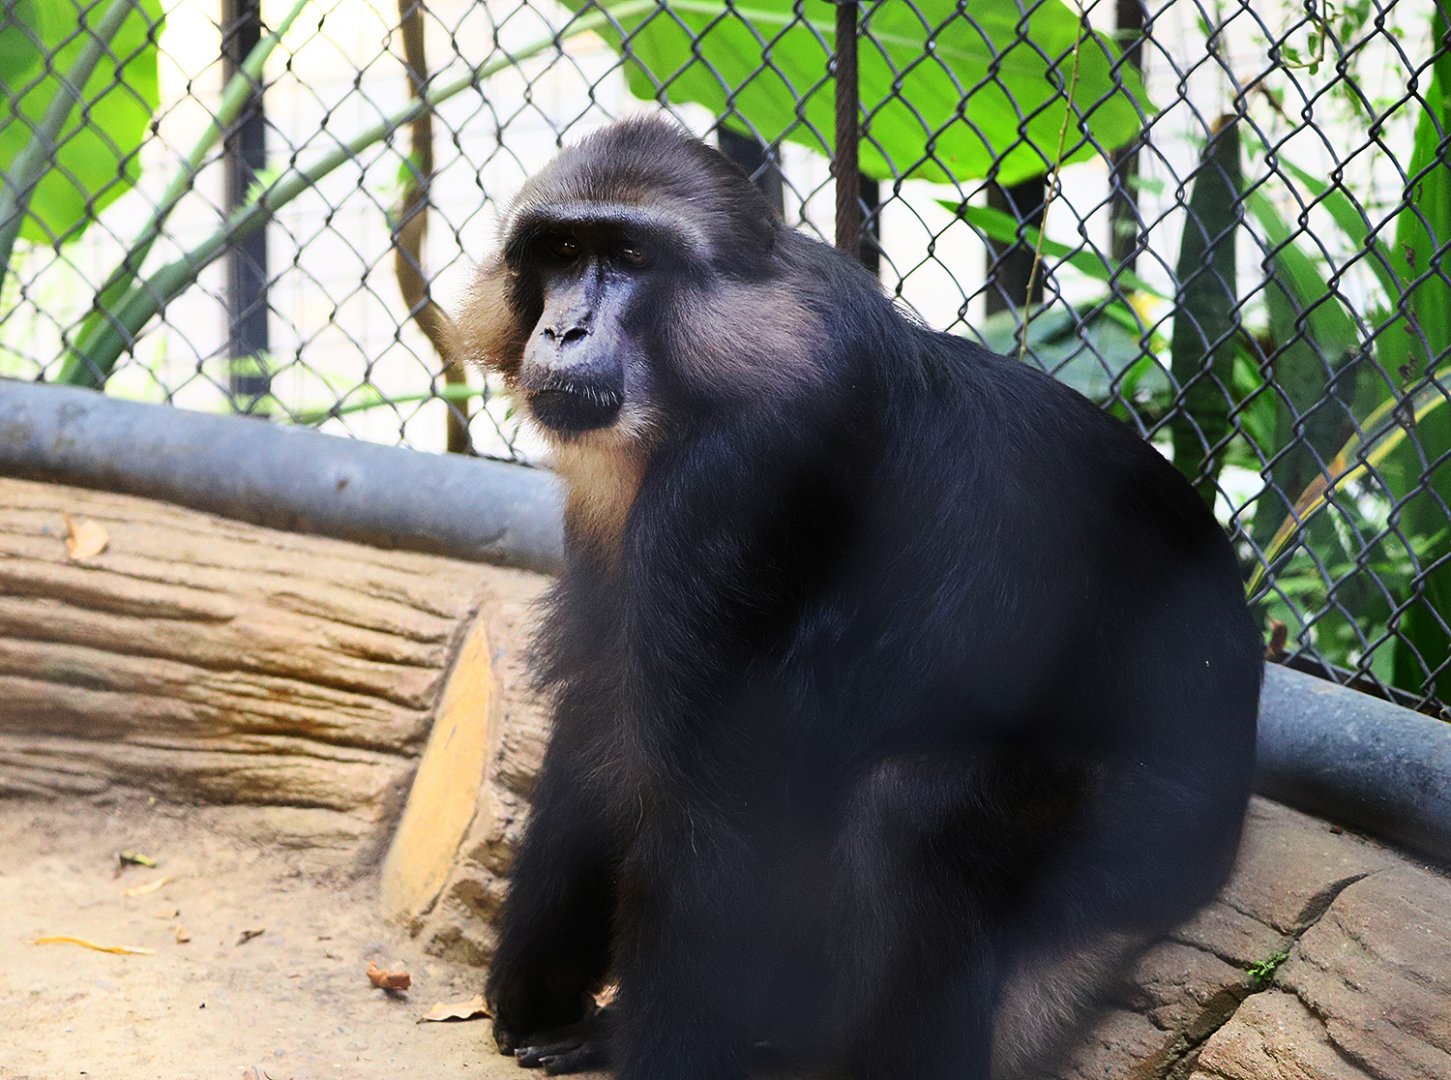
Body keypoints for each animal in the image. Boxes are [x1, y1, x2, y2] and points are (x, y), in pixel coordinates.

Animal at [454, 117, 1262, 1080]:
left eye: (631, 256)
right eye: (563, 250)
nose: (566, 327)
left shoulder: (739, 477)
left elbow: (703, 822)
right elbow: (595, 727)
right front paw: (536, 987)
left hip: (1154, 836)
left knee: (912, 813)